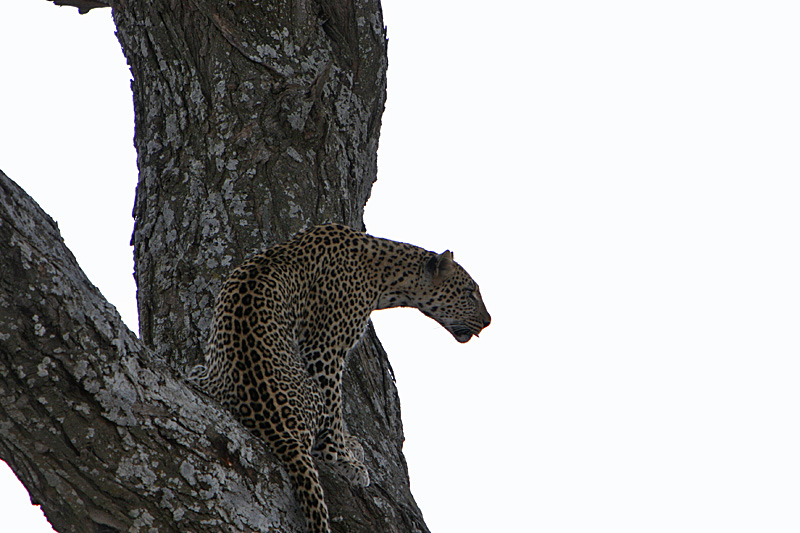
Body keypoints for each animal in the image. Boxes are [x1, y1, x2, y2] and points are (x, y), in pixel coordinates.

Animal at [188, 222, 490, 528]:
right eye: (470, 292)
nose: (488, 321)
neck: (384, 276)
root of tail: (277, 426)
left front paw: (349, 443)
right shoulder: (325, 348)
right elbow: (334, 406)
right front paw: (344, 458)